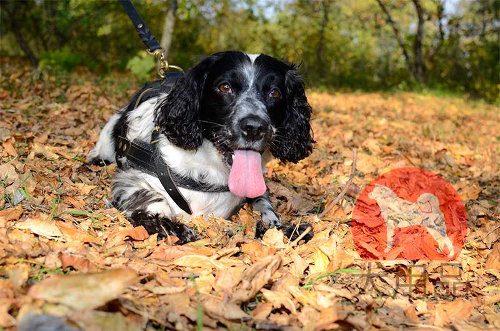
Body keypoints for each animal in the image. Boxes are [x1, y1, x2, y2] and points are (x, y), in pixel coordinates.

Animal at [86, 51, 312, 244]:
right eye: (225, 87)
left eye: (274, 93)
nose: (254, 128)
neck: (210, 167)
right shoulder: (130, 180)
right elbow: (152, 199)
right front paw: (168, 226)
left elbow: (264, 204)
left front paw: (282, 228)